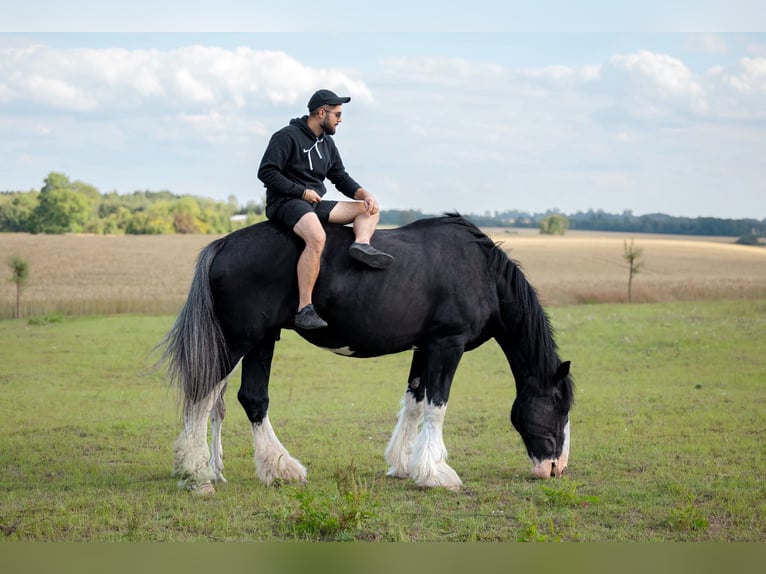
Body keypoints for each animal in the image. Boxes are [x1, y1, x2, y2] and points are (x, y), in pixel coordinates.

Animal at [158, 213, 573, 494]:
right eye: (560, 406)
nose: (555, 468)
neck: (479, 271)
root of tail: (223, 245)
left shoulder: (425, 348)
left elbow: (415, 403)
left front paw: (405, 465)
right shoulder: (447, 345)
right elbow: (437, 407)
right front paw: (436, 473)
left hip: (259, 340)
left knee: (242, 400)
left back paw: (265, 469)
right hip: (237, 341)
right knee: (205, 398)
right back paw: (200, 474)